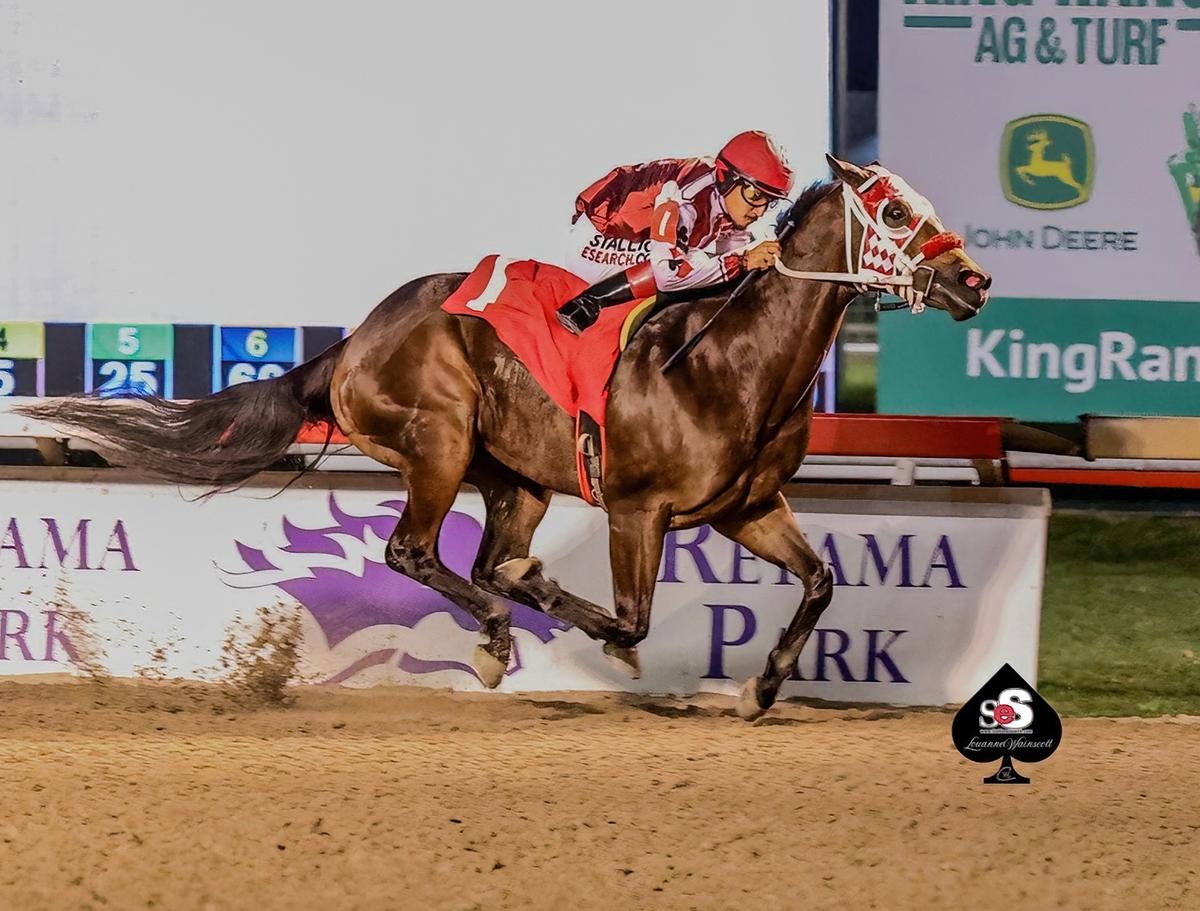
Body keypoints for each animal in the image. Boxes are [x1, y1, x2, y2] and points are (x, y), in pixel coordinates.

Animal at [19, 155, 991, 720]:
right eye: (893, 214)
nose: (974, 279)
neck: (731, 362)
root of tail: (355, 339)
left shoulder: (746, 507)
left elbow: (823, 580)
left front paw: (761, 684)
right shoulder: (637, 508)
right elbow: (631, 617)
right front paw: (591, 625)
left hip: (514, 476)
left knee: (479, 560)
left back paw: (495, 629)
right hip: (440, 443)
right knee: (416, 553)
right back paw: (497, 627)